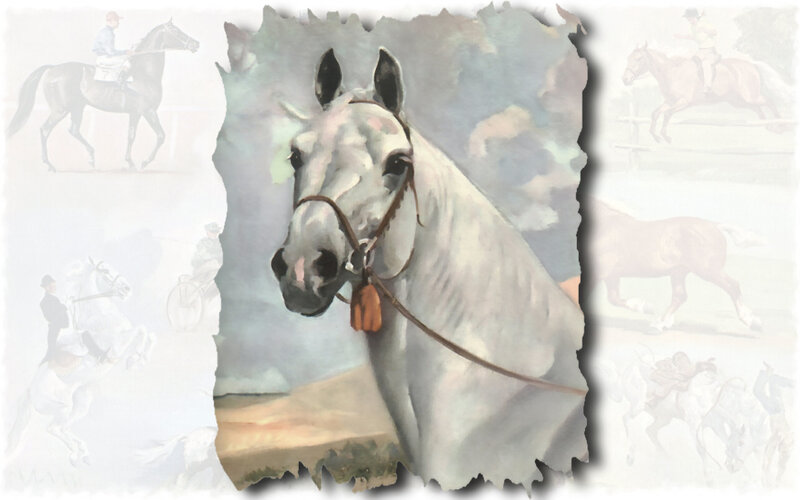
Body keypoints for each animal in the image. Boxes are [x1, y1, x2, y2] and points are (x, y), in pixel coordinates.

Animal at [6, 20, 199, 171]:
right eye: (176, 31)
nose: (195, 44)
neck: (143, 73)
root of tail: (53, 68)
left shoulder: (135, 113)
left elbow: (131, 136)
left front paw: (130, 162)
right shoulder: (148, 111)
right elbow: (161, 136)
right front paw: (144, 162)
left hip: (78, 107)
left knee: (74, 130)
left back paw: (91, 157)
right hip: (60, 109)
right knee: (45, 129)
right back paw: (50, 165)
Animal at [7, 257, 156, 466]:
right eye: (105, 271)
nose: (127, 289)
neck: (101, 317)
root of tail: (30, 391)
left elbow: (148, 333)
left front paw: (142, 358)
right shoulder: (117, 346)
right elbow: (140, 330)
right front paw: (135, 360)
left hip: (81, 404)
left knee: (63, 428)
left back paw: (82, 452)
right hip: (61, 406)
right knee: (53, 429)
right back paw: (77, 455)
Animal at [591, 200, 762, 332]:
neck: (606, 226)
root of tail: (715, 225)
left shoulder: (603, 272)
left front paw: (646, 307)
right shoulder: (611, 275)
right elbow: (613, 298)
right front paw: (645, 306)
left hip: (708, 271)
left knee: (733, 285)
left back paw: (752, 322)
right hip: (679, 272)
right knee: (680, 296)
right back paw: (660, 324)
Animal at [622, 43, 789, 143]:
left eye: (639, 58)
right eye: (628, 58)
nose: (625, 80)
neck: (672, 71)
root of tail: (752, 64)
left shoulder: (683, 102)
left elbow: (667, 114)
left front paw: (665, 136)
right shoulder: (670, 101)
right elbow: (656, 113)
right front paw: (655, 135)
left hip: (750, 97)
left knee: (770, 102)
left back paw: (781, 125)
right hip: (739, 102)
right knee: (759, 110)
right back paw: (769, 126)